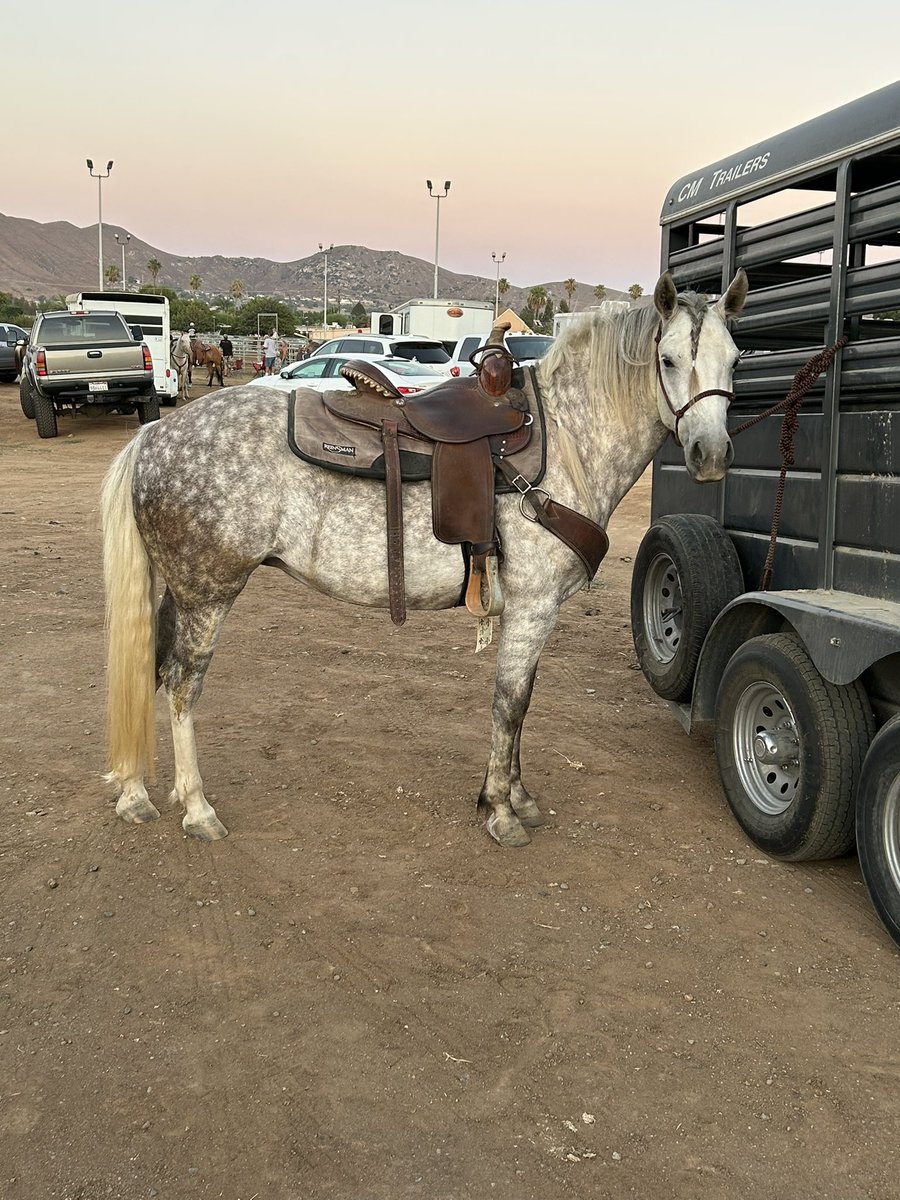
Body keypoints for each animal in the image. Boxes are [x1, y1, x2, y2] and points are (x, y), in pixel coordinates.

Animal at [101, 270, 747, 846]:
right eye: (668, 360)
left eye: (737, 359)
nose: (711, 454)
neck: (566, 438)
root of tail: (153, 437)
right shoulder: (534, 607)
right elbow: (510, 704)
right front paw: (502, 812)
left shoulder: (533, 614)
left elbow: (522, 702)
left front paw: (513, 796)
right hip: (208, 594)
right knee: (182, 686)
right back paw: (196, 808)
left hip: (178, 592)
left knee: (149, 670)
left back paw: (134, 794)